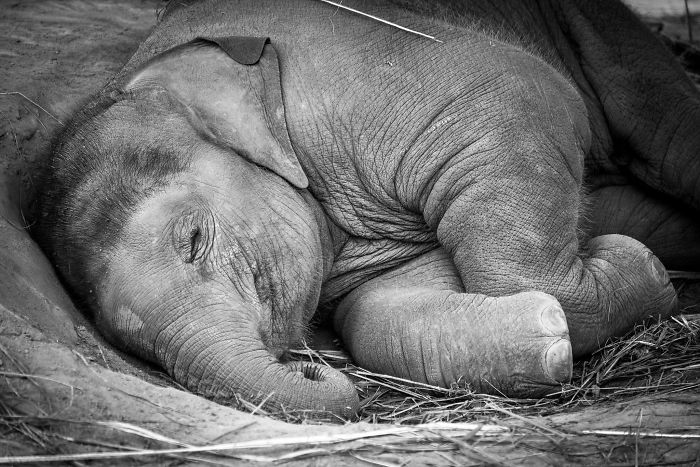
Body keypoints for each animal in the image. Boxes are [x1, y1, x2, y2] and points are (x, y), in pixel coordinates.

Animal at [33, 0, 700, 418]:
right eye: (132, 347)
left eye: (194, 239)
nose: (312, 368)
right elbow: (378, 311)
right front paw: (552, 332)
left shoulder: (385, 80)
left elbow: (517, 103)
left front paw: (642, 270)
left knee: (669, 131)